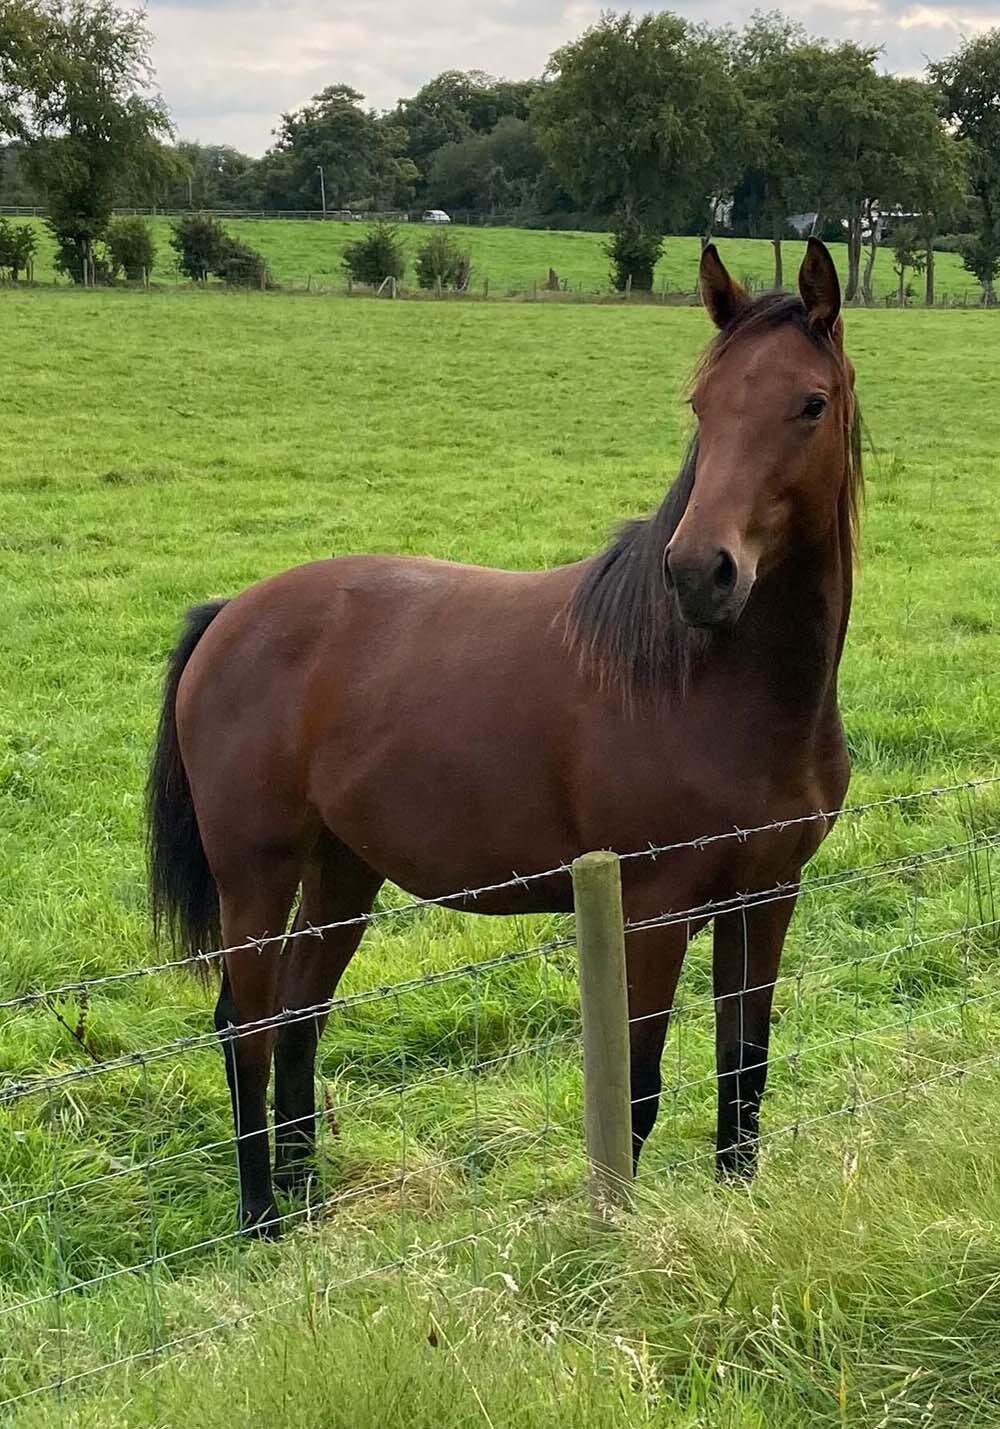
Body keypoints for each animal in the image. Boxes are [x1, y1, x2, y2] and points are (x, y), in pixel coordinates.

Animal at [147, 239, 861, 1235]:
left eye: (811, 403)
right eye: (703, 403)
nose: (698, 573)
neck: (715, 683)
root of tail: (227, 616)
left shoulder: (768, 894)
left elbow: (743, 1072)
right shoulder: (651, 907)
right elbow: (635, 1091)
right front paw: (613, 1237)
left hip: (341, 871)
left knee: (297, 1013)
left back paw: (308, 1201)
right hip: (257, 874)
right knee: (246, 1023)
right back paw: (262, 1217)